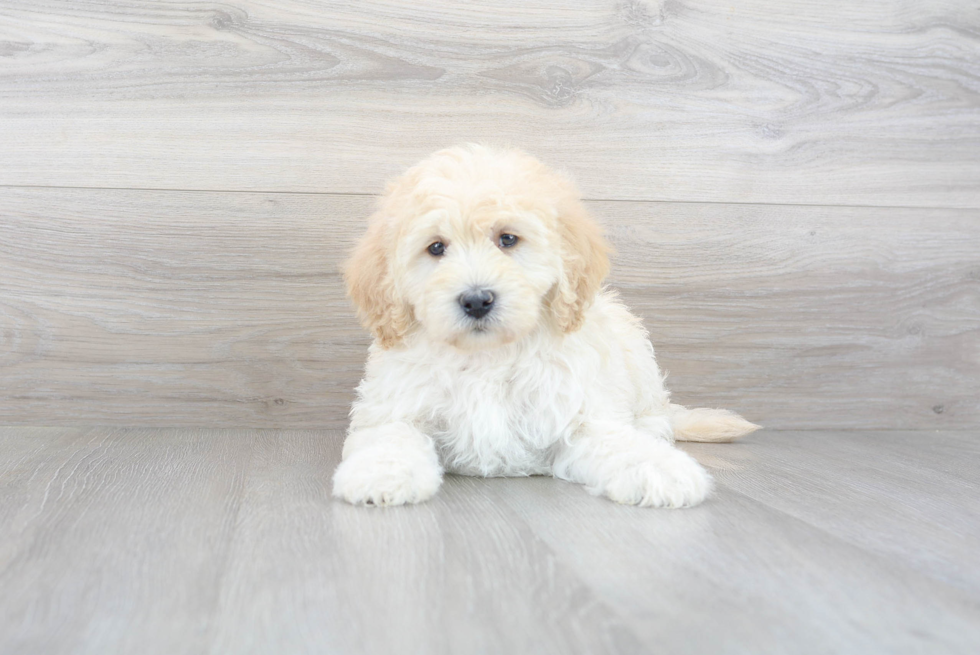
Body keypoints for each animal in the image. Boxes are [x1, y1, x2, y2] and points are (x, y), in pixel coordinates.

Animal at [332, 146, 756, 510]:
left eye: (508, 239)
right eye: (436, 248)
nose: (476, 300)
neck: (488, 355)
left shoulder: (577, 412)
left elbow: (614, 440)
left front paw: (659, 468)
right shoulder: (396, 404)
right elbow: (389, 435)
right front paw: (380, 475)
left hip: (631, 343)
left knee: (655, 412)